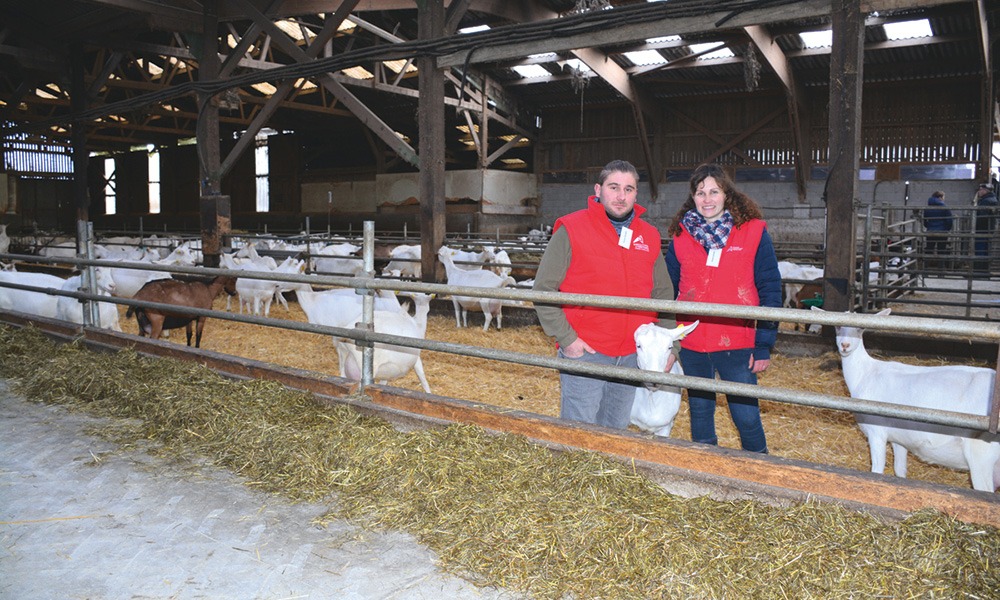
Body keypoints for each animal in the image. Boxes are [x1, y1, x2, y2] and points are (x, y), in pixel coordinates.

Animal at [820, 310, 1000, 492]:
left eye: (860, 328)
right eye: (837, 326)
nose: (845, 345)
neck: (866, 373)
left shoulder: (876, 432)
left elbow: (877, 471)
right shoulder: (899, 438)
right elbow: (900, 471)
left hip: (981, 455)